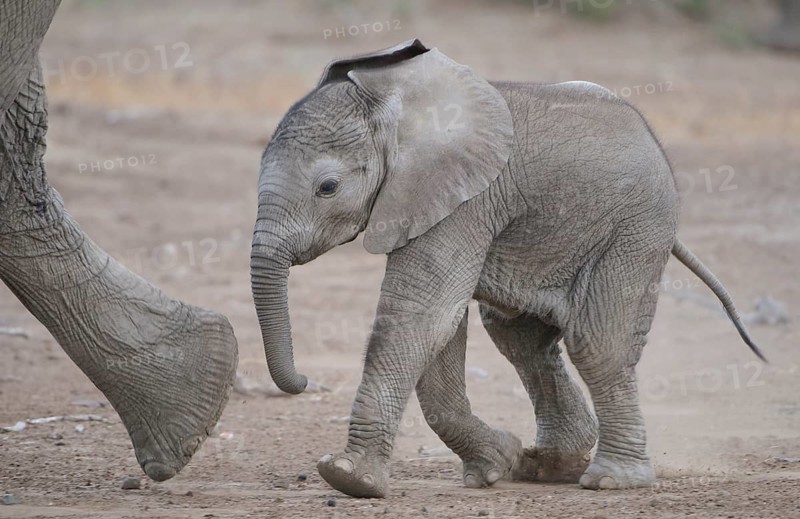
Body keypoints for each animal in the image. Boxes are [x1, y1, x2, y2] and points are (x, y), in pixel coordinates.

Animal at [250, 39, 764, 498]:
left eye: (328, 188)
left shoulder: (464, 199)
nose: (302, 382)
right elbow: (441, 324)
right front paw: (497, 464)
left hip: (636, 229)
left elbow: (422, 315)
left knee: (597, 343)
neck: (398, 106)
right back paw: (548, 465)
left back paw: (612, 480)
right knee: (520, 339)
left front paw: (349, 479)